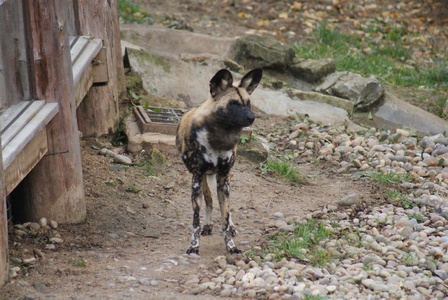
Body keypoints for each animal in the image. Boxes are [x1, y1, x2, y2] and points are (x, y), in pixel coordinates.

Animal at [176, 68, 262, 253]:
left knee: (225, 207)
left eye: (248, 103)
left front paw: (231, 246)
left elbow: (225, 216)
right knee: (208, 199)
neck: (218, 137)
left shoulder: (223, 178)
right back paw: (208, 225)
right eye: (233, 103)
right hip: (203, 179)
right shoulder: (197, 178)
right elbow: (196, 220)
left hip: (225, 178)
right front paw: (194, 246)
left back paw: (230, 226)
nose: (251, 117)